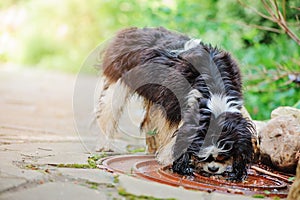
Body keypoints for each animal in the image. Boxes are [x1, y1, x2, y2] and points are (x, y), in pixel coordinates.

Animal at [97, 27, 256, 181]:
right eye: (203, 156)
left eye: (224, 156)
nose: (213, 169)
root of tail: (131, 31)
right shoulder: (171, 105)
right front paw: (171, 158)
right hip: (119, 84)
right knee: (108, 112)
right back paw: (105, 145)